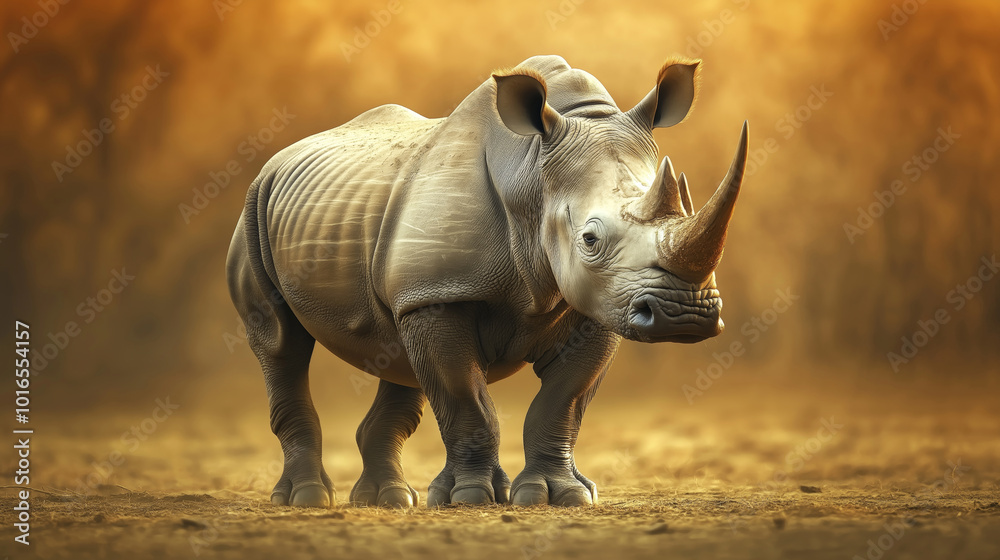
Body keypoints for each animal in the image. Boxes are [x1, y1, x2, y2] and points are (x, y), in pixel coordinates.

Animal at [226, 55, 747, 508]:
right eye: (590, 239)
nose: (686, 314)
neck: (531, 174)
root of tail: (278, 159)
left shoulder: (598, 304)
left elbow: (561, 401)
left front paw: (560, 496)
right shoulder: (439, 294)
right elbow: (465, 399)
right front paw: (470, 498)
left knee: (397, 351)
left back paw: (389, 500)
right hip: (254, 208)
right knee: (280, 342)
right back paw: (307, 498)